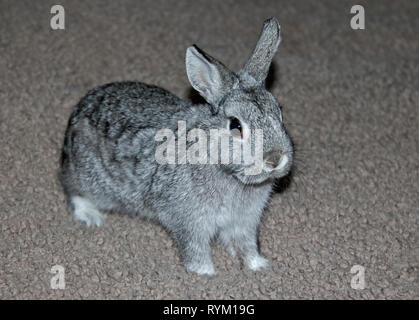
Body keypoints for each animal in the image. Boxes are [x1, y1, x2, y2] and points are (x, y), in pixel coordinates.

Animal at [60, 17, 296, 276]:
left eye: (280, 113)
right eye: (235, 125)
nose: (275, 159)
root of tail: (79, 111)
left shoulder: (244, 223)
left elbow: (247, 244)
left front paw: (258, 266)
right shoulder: (189, 222)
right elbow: (195, 248)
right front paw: (205, 273)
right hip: (88, 178)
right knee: (73, 190)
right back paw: (91, 216)